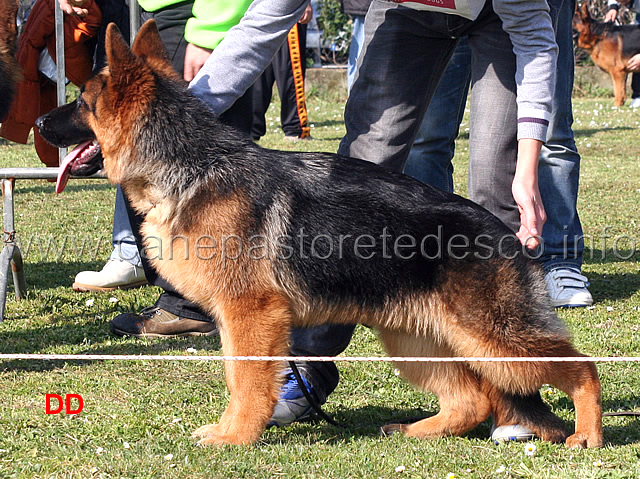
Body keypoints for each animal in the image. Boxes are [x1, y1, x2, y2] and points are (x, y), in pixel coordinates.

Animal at [36, 20, 604, 448]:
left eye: (81, 103)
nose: (39, 122)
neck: (192, 167)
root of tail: (505, 234)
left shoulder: (252, 315)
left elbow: (246, 382)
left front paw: (235, 437)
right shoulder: (241, 321)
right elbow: (237, 377)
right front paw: (232, 430)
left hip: (493, 338)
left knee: (581, 366)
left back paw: (588, 434)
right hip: (415, 337)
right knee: (473, 399)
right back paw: (418, 430)